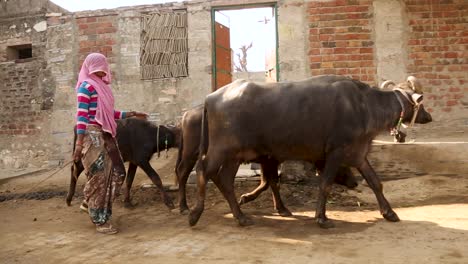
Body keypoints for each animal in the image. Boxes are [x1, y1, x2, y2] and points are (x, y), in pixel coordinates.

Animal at [188, 75, 434, 228]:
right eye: (420, 102)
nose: (429, 116)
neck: (364, 107)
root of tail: (211, 98)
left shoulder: (358, 155)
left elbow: (375, 182)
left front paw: (389, 213)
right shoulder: (335, 153)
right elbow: (324, 184)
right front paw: (322, 218)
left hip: (235, 155)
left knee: (224, 179)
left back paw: (241, 216)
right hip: (221, 148)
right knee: (203, 170)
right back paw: (195, 213)